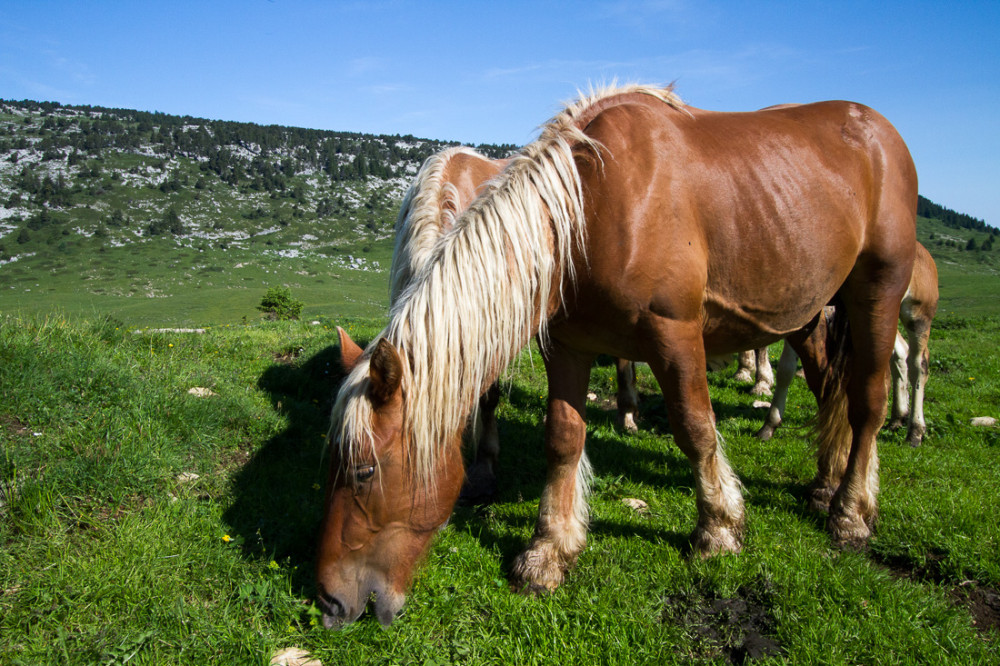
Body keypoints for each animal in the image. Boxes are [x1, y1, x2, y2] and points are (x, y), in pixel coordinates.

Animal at [317, 84, 917, 628]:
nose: (329, 602)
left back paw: (851, 511)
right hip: (806, 308)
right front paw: (550, 550)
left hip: (876, 294)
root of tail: (882, 131)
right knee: (827, 385)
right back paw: (825, 482)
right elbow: (562, 437)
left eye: (365, 471)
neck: (590, 208)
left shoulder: (675, 335)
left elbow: (695, 428)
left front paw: (719, 528)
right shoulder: (567, 345)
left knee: (867, 402)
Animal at [757, 242, 938, 445]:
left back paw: (915, 430)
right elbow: (785, 370)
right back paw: (897, 417)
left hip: (918, 314)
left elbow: (787, 368)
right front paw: (770, 424)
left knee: (918, 364)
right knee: (899, 353)